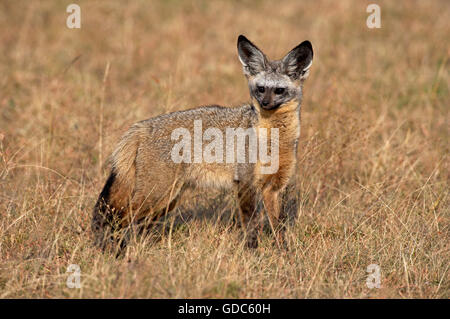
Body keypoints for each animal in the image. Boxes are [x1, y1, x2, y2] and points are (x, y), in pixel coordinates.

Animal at [92, 35, 312, 254]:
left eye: (279, 90)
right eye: (261, 89)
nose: (264, 103)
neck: (273, 138)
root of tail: (140, 127)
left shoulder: (273, 189)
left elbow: (279, 227)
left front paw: (284, 253)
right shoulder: (245, 183)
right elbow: (251, 224)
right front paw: (252, 253)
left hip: (166, 202)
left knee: (132, 224)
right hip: (157, 196)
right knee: (116, 220)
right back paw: (112, 252)